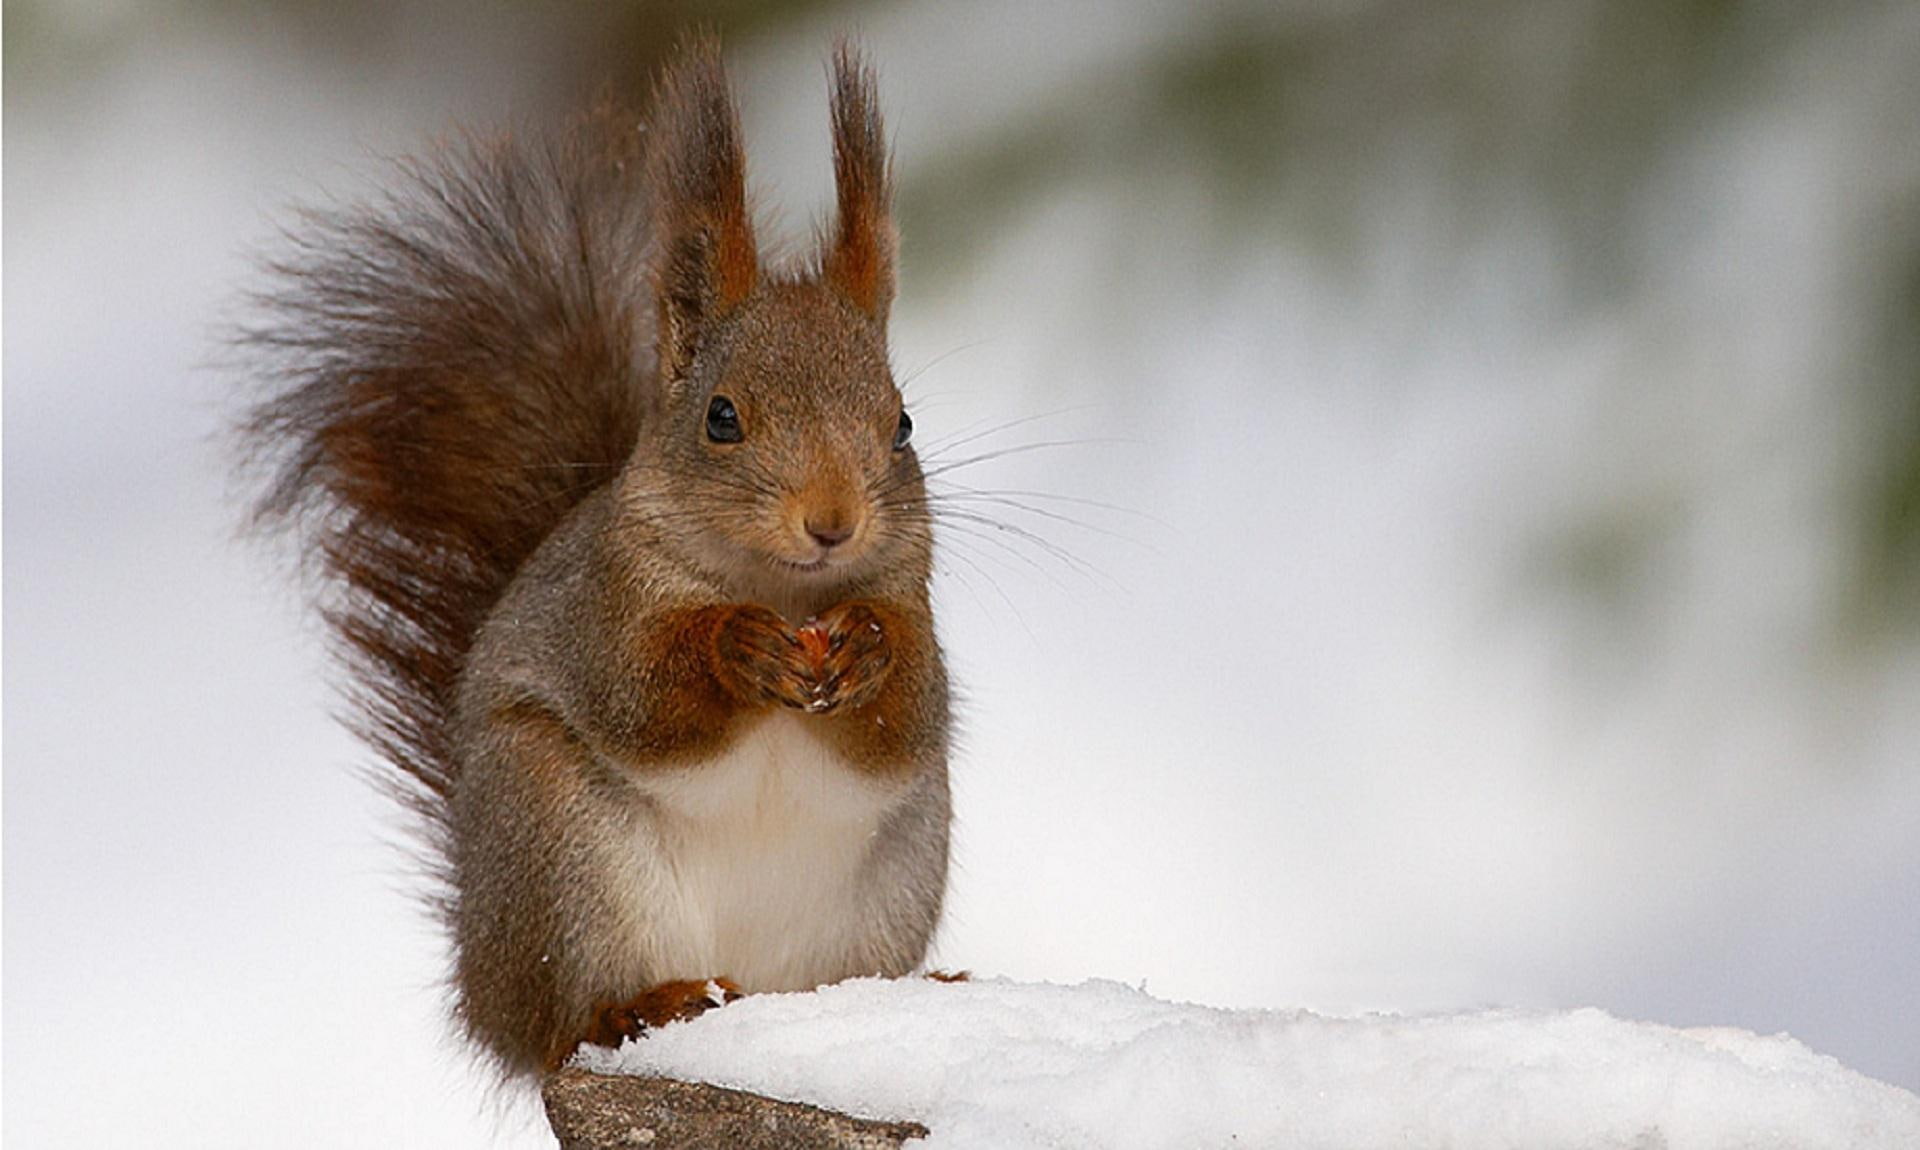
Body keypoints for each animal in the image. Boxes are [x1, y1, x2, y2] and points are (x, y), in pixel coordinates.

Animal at [241, 39, 951, 1079]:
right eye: (722, 418)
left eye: (901, 425)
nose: (833, 523)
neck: (781, 590)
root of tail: (487, 992)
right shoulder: (600, 609)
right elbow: (644, 701)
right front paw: (736, 647)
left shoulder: (917, 609)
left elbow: (908, 718)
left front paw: (866, 648)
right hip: (561, 854)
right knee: (564, 1023)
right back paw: (640, 1005)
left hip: (902, 867)